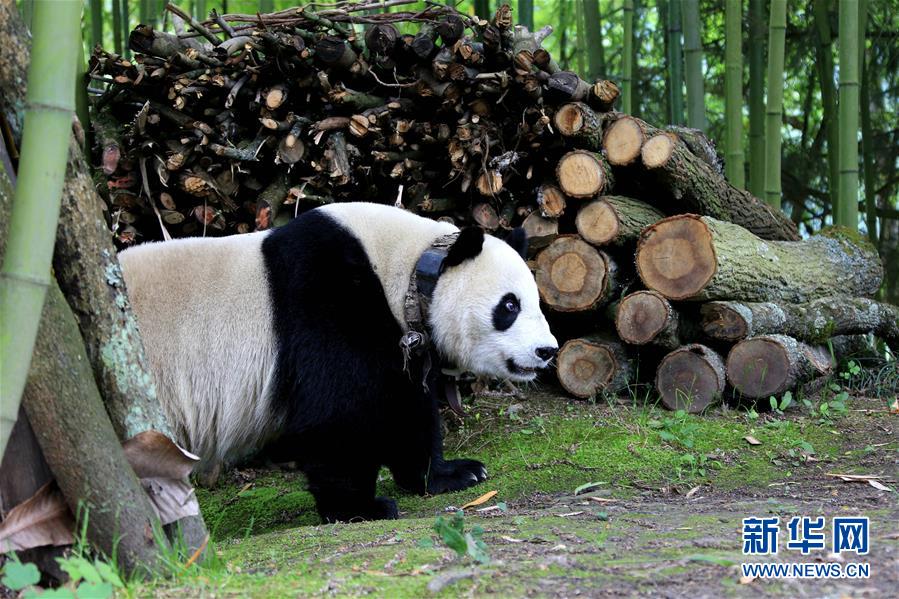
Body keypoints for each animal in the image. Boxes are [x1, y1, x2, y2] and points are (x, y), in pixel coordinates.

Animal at [118, 204, 556, 524]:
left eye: (536, 300)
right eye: (509, 306)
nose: (547, 351)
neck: (409, 269)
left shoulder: (400, 342)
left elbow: (406, 408)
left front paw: (454, 473)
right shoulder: (329, 298)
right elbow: (340, 414)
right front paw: (360, 508)